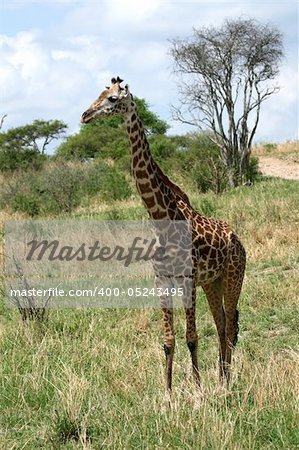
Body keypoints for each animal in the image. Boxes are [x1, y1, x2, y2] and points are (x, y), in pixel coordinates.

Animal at [81, 77, 247, 394]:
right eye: (99, 93)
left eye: (112, 99)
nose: (85, 115)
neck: (160, 218)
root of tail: (240, 243)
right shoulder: (162, 280)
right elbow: (169, 341)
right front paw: (168, 396)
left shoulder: (187, 279)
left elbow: (192, 337)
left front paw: (198, 392)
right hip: (213, 282)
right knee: (221, 323)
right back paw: (222, 379)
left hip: (233, 276)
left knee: (232, 325)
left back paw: (227, 384)